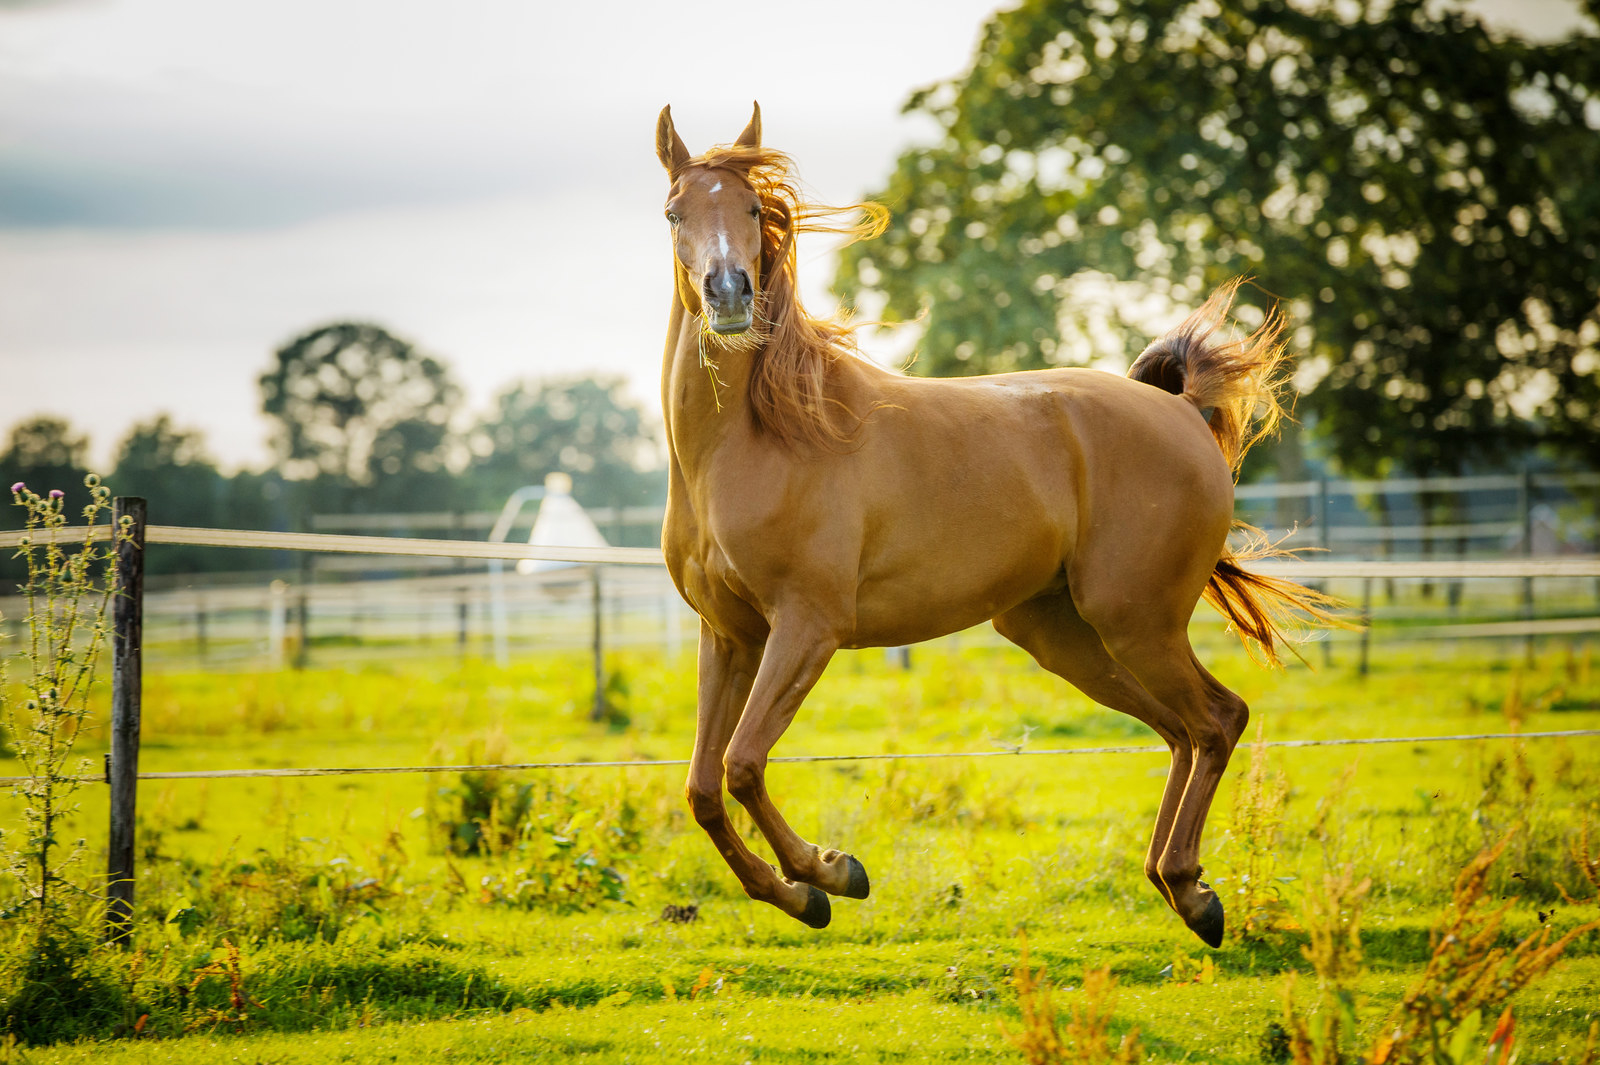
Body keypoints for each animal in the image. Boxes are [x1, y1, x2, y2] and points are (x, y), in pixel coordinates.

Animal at [652, 101, 1337, 946]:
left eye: (752, 208)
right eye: (675, 211)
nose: (728, 293)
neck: (754, 438)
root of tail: (1177, 409)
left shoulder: (807, 626)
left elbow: (743, 764)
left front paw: (832, 873)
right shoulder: (730, 635)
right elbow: (702, 788)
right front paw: (801, 895)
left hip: (1134, 622)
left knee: (1216, 719)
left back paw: (1191, 891)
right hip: (1065, 635)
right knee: (1185, 728)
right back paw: (1181, 886)